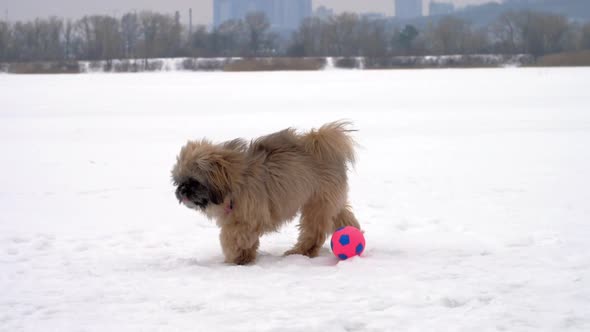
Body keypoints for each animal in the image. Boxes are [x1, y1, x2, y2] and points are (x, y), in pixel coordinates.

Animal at [172, 122, 360, 264]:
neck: (236, 178)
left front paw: (234, 258)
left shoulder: (247, 218)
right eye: (179, 181)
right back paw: (354, 231)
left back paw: (301, 251)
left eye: (194, 182)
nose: (182, 190)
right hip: (328, 201)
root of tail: (321, 140)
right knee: (342, 215)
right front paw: (244, 257)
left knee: (314, 231)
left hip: (318, 203)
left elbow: (232, 237)